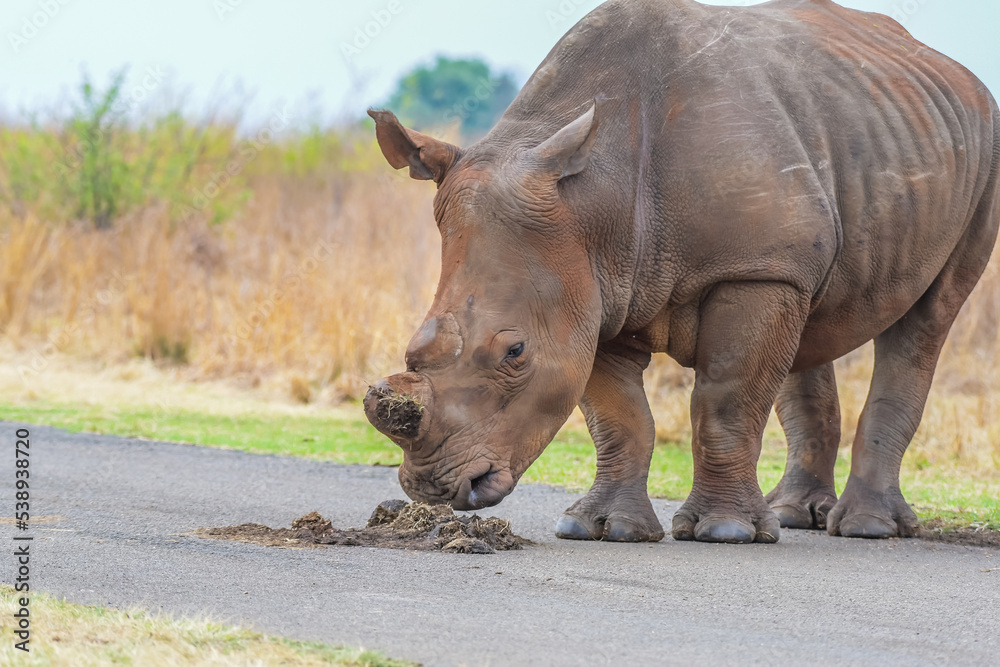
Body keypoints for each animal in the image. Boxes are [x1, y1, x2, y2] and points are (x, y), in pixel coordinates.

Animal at [364, 0, 1000, 544]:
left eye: (515, 352)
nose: (434, 487)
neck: (594, 199)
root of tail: (949, 70)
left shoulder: (746, 272)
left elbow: (725, 399)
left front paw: (726, 532)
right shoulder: (596, 286)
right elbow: (619, 416)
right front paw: (601, 529)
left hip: (981, 154)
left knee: (928, 319)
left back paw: (866, 528)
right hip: (847, 152)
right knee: (808, 317)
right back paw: (796, 516)